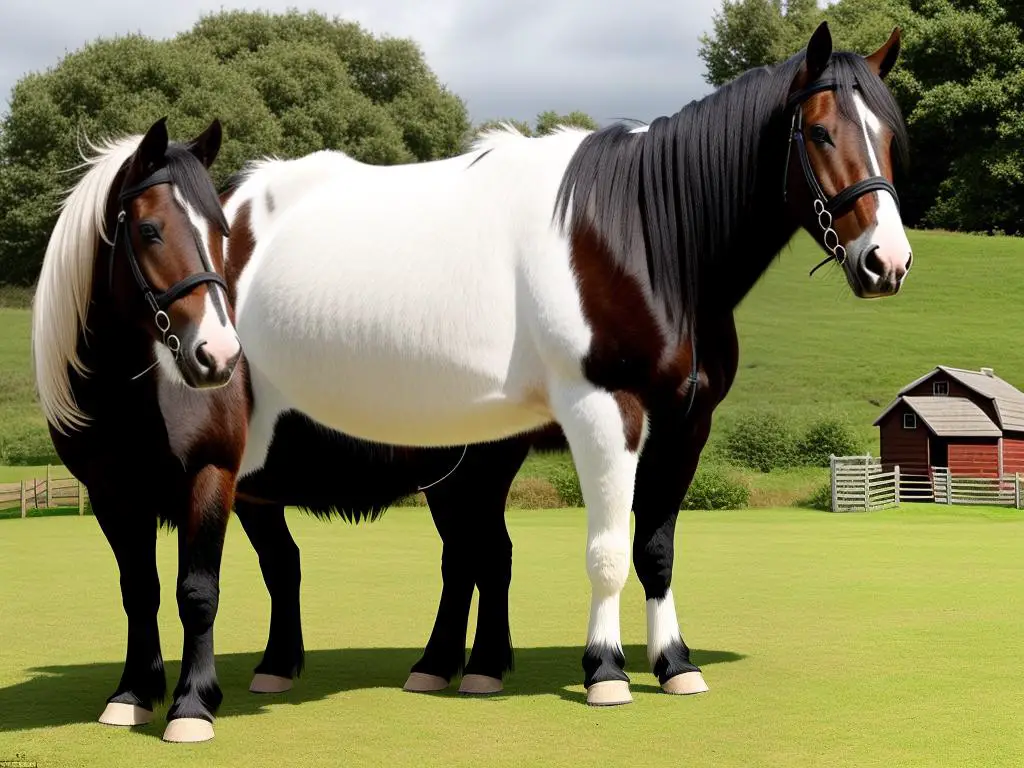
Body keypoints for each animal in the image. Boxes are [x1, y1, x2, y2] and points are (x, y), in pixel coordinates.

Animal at [228, 22, 909, 708]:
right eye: (819, 132)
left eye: (888, 134)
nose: (887, 261)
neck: (645, 243)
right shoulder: (605, 412)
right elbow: (606, 553)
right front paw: (605, 668)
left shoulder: (686, 427)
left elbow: (653, 550)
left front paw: (675, 662)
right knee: (289, 561)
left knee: (453, 554)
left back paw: (448, 666)